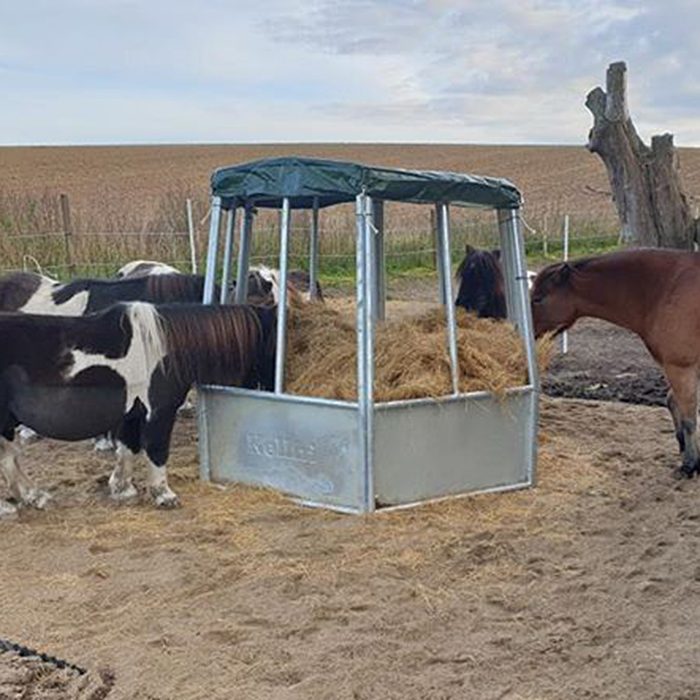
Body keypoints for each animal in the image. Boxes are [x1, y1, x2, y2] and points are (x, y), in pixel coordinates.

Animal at [0, 302, 276, 520]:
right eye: (273, 347)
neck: (164, 349)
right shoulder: (158, 413)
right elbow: (156, 450)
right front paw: (164, 495)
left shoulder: (132, 414)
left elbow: (128, 448)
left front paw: (122, 489)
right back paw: (10, 507)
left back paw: (34, 497)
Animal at [532, 249, 700, 484]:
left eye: (538, 299)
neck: (665, 288)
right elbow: (673, 404)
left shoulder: (681, 368)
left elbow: (689, 418)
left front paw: (689, 466)